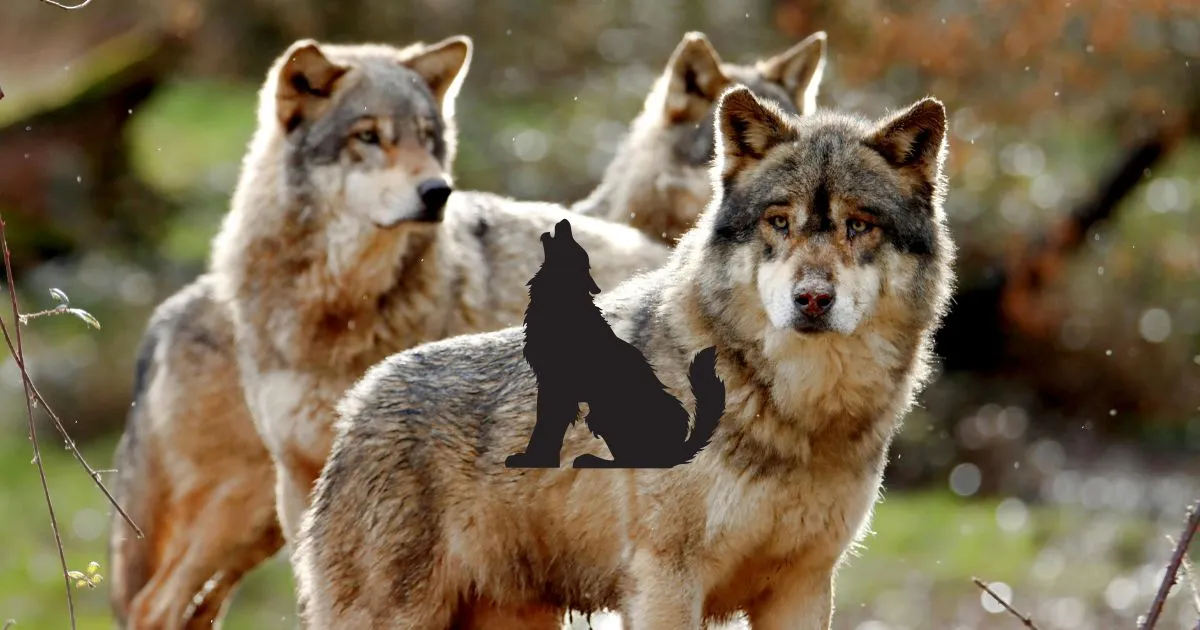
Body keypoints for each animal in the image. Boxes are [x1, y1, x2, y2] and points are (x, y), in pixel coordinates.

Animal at [508, 218, 724, 470]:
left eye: (575, 248)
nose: (564, 221)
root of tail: (676, 451)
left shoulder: (558, 386)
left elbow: (546, 427)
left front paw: (535, 460)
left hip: (606, 414)